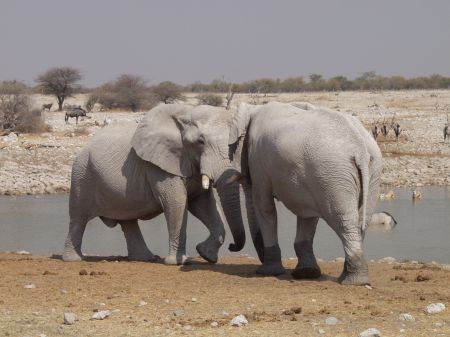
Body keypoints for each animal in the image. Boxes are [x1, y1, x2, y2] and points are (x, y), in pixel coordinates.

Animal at [62, 103, 246, 264]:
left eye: (238, 142)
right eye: (200, 141)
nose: (232, 246)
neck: (187, 113)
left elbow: (204, 205)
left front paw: (206, 255)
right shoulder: (159, 167)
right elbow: (177, 203)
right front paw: (179, 262)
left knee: (128, 221)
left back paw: (145, 258)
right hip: (82, 174)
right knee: (78, 217)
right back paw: (73, 259)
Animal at [227, 101, 382, 284]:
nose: (230, 246)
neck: (254, 108)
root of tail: (359, 150)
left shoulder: (259, 162)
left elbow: (264, 207)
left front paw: (268, 272)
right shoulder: (310, 180)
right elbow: (308, 215)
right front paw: (306, 273)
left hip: (333, 174)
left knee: (343, 221)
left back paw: (354, 281)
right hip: (367, 171)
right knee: (361, 222)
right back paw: (348, 277)